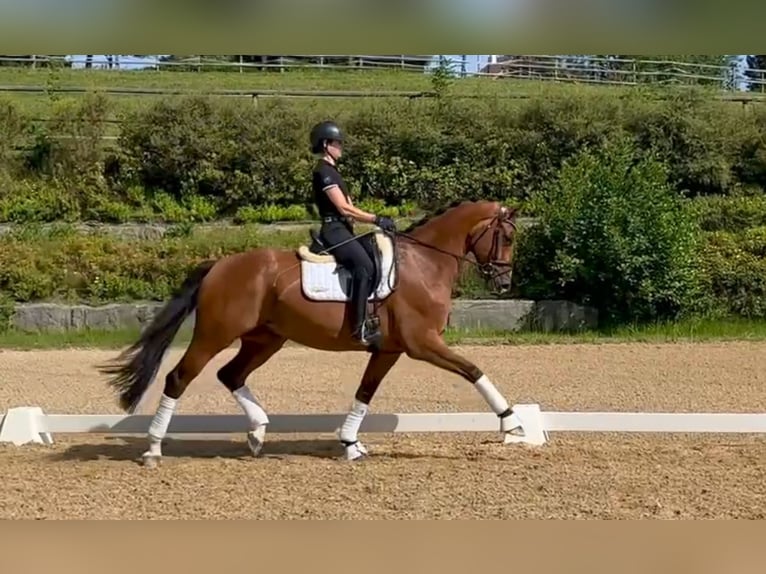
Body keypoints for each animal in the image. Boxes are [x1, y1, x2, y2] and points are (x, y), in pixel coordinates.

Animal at [100, 199, 528, 468]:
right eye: (507, 237)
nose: (504, 284)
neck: (424, 262)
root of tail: (218, 266)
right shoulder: (422, 343)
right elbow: (473, 370)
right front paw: (512, 423)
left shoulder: (388, 350)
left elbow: (365, 392)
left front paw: (351, 444)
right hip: (214, 335)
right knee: (179, 377)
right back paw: (154, 449)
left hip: (265, 339)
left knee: (231, 374)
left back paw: (257, 433)